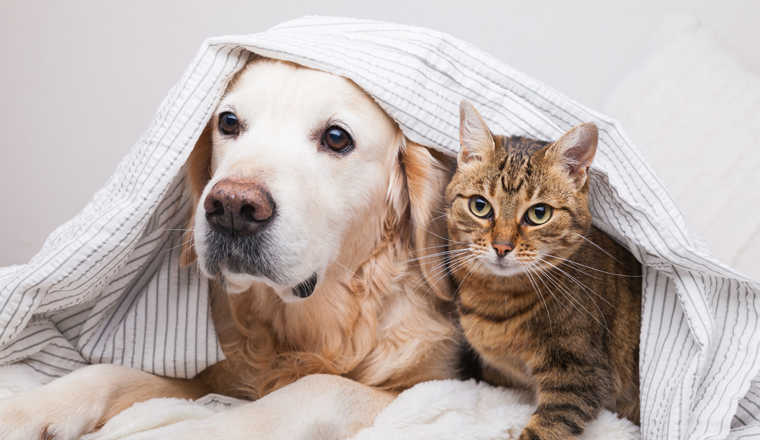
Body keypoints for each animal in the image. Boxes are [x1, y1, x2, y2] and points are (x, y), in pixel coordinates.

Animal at [0, 58, 458, 440]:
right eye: (229, 122)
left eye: (336, 138)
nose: (233, 208)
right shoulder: (216, 377)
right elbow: (110, 373)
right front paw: (26, 410)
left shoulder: (435, 385)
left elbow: (319, 387)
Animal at [448, 100, 644, 440]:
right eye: (479, 206)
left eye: (539, 213)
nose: (501, 247)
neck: (497, 301)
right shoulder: (499, 374)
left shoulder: (581, 373)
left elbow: (544, 430)